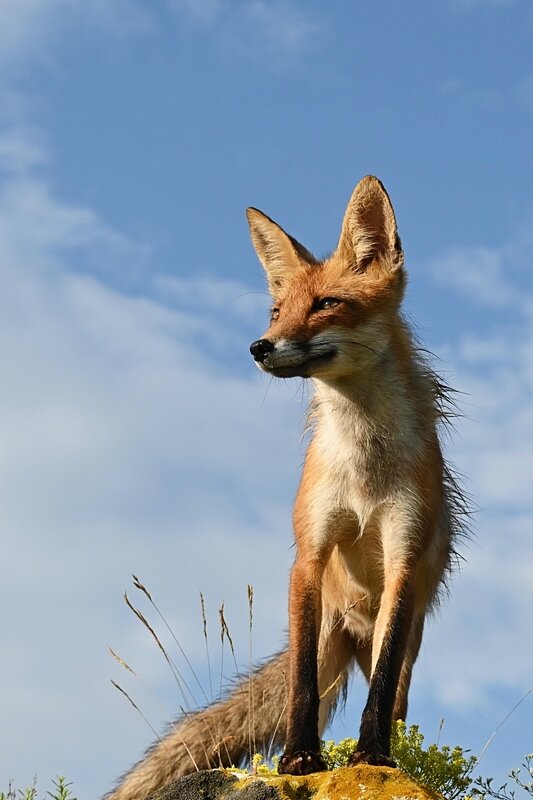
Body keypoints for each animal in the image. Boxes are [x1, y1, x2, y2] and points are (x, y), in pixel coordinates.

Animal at [107, 178, 462, 796]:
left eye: (327, 304)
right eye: (276, 311)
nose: (260, 346)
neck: (364, 467)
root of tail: (351, 623)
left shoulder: (403, 557)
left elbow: (378, 693)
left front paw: (371, 757)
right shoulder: (308, 556)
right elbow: (299, 686)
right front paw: (300, 759)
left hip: (404, 642)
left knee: (392, 694)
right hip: (325, 624)